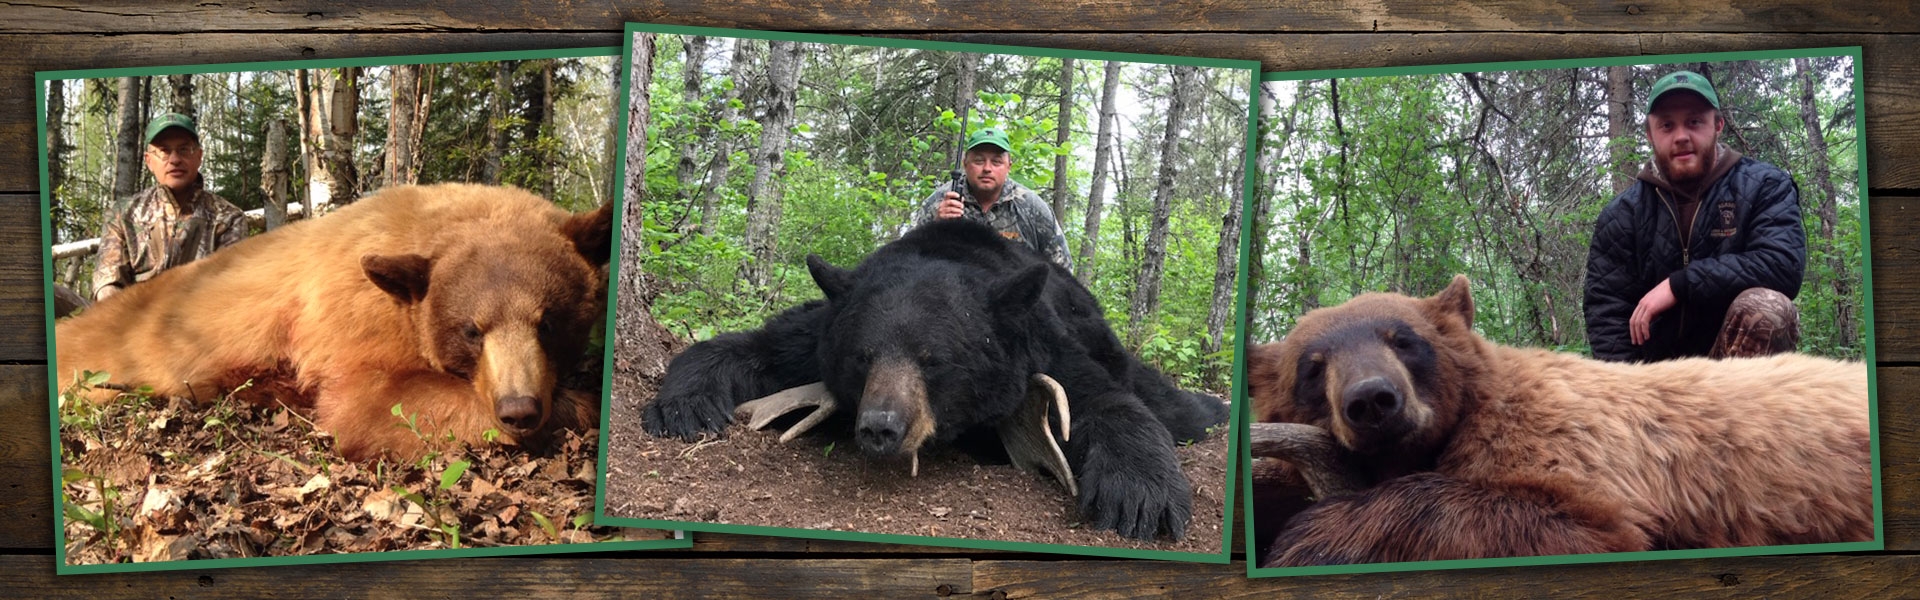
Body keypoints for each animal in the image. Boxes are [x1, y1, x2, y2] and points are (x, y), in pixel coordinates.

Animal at [637, 218, 1221, 542]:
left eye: (933, 359)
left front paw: (1140, 496)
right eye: (863, 357)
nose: (880, 427)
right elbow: (754, 346)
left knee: (1168, 402)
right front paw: (683, 404)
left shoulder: (1040, 344)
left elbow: (1100, 400)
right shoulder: (818, 332)